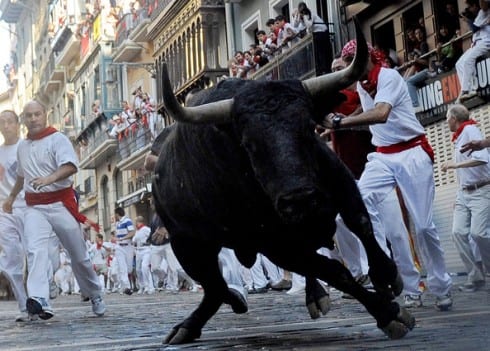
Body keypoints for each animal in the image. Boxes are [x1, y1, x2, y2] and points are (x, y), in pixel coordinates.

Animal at [151, 22, 416, 346]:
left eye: (308, 127)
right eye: (248, 144)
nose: (300, 199)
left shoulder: (341, 182)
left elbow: (361, 224)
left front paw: (388, 275)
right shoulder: (274, 244)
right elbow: (334, 270)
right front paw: (389, 314)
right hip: (186, 245)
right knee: (215, 287)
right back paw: (195, 322)